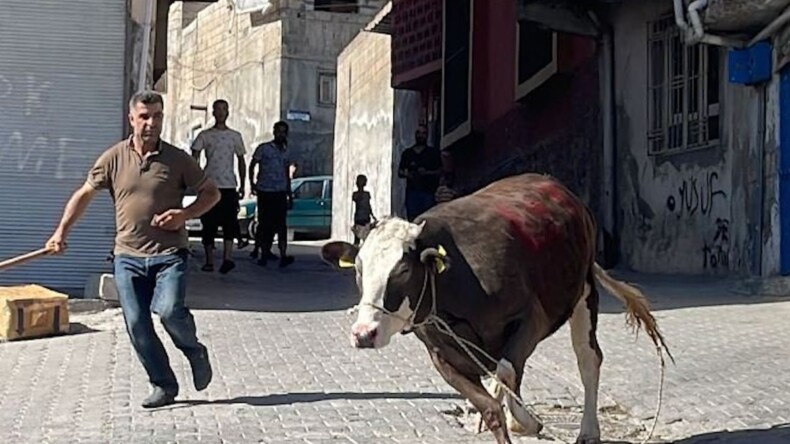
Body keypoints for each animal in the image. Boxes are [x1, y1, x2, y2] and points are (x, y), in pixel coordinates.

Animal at [322, 173, 676, 444]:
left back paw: (588, 431)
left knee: (588, 359)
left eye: (404, 270)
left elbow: (507, 371)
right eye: (358, 268)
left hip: (583, 292)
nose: (363, 334)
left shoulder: (531, 317)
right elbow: (490, 406)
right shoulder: (441, 353)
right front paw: (500, 416)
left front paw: (525, 421)